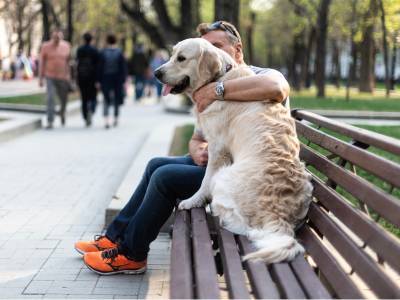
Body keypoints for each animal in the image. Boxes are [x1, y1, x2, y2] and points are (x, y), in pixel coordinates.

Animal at [153, 38, 312, 262]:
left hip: (224, 177)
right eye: (172, 54)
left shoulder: (217, 149)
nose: (156, 73)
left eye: (181, 58)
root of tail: (279, 217)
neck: (219, 78)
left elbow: (204, 182)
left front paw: (192, 201)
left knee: (246, 227)